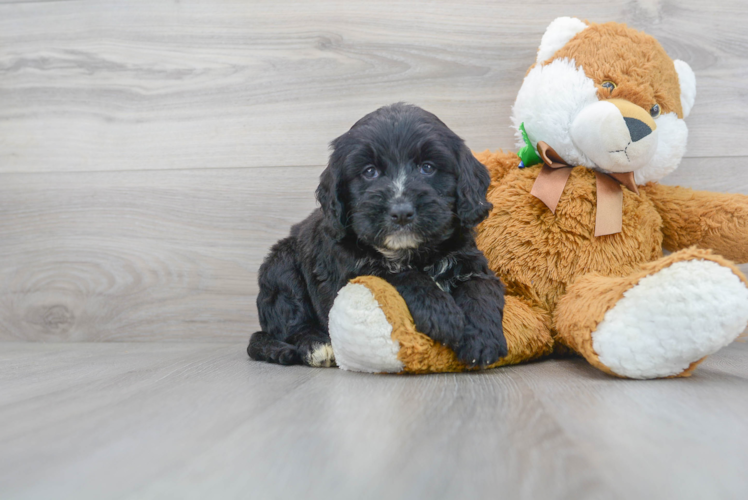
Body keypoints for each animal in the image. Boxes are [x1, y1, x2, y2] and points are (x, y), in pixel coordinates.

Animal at [248, 102, 506, 368]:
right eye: (370, 172)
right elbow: (401, 276)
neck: (412, 252)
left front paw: (482, 338)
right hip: (281, 268)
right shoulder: (353, 270)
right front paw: (442, 313)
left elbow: (481, 289)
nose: (401, 212)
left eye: (427, 168)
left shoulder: (469, 260)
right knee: (291, 322)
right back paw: (316, 345)